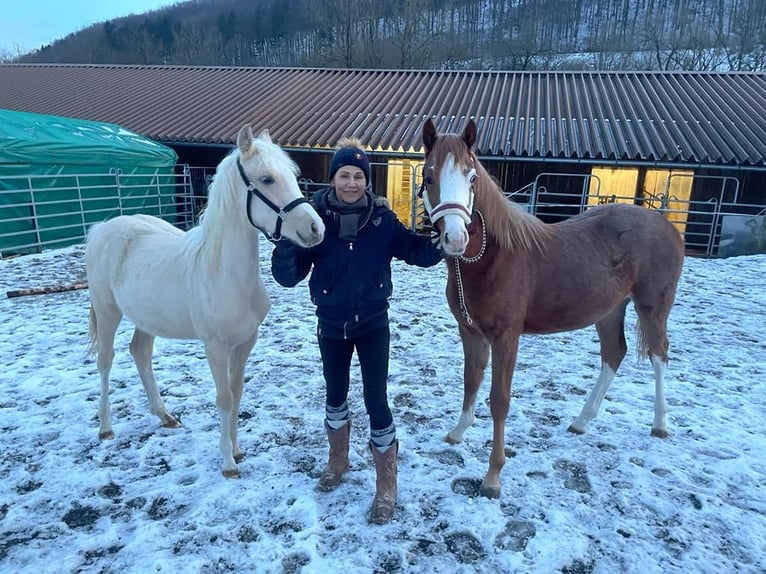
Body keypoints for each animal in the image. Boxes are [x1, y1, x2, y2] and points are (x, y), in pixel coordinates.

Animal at [88, 124, 328, 480]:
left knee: (140, 353)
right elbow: (224, 398)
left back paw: (165, 416)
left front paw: (238, 451)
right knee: (105, 361)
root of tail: (103, 228)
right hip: (107, 313)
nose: (316, 228)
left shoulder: (245, 342)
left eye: (294, 175)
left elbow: (237, 391)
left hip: (147, 318)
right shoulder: (215, 346)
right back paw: (105, 428)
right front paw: (228, 463)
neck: (224, 274)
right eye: (267, 179)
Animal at [424, 118, 688, 500]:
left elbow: (499, 400)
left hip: (653, 308)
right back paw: (581, 421)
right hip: (609, 310)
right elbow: (470, 381)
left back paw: (660, 424)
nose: (456, 239)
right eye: (429, 177)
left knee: (658, 355)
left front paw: (493, 477)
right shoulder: (470, 331)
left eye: (471, 178)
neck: (493, 257)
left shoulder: (507, 337)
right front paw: (457, 432)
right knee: (614, 353)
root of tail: (666, 224)